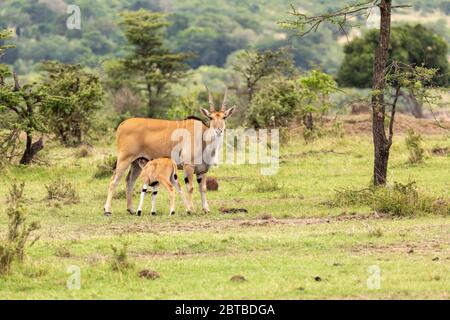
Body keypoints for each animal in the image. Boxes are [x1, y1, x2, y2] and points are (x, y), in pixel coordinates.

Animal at [103, 87, 236, 216]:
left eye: (224, 117)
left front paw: (206, 209)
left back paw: (131, 209)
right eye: (211, 117)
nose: (219, 130)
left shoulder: (202, 171)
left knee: (129, 182)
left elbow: (202, 188)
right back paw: (107, 210)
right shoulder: (188, 166)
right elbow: (190, 188)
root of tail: (123, 124)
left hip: (136, 163)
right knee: (113, 181)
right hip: (124, 159)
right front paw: (191, 209)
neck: (202, 137)